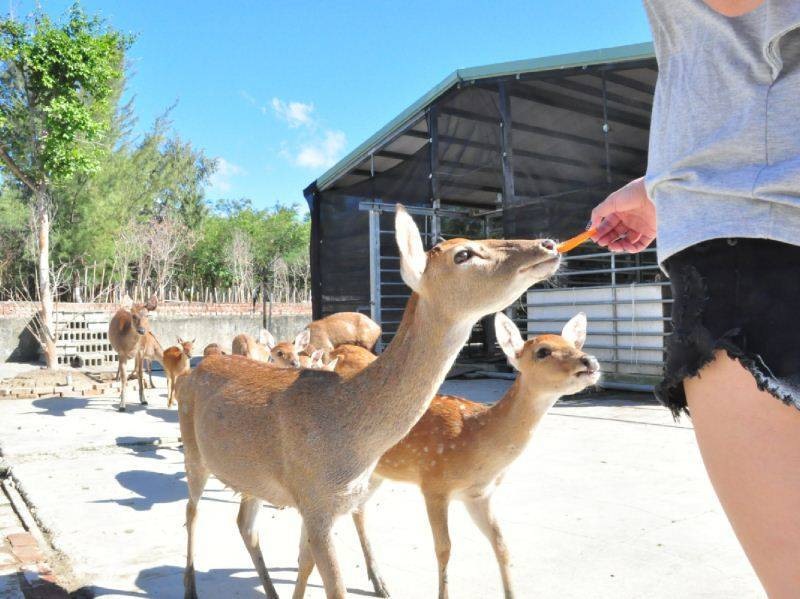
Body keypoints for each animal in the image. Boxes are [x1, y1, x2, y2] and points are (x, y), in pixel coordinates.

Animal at [176, 207, 564, 599]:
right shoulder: (315, 499)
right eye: (463, 254)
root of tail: (196, 368)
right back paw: (190, 587)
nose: (548, 244)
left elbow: (304, 563)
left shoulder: (325, 502)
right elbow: (333, 586)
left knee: (244, 523)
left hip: (249, 476)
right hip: (193, 452)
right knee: (192, 511)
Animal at [314, 312, 600, 596]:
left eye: (575, 345)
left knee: (358, 509)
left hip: (375, 472)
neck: (474, 441)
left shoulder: (478, 495)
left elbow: (501, 544)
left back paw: (378, 581)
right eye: (542, 351)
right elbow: (444, 548)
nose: (590, 361)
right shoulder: (433, 484)